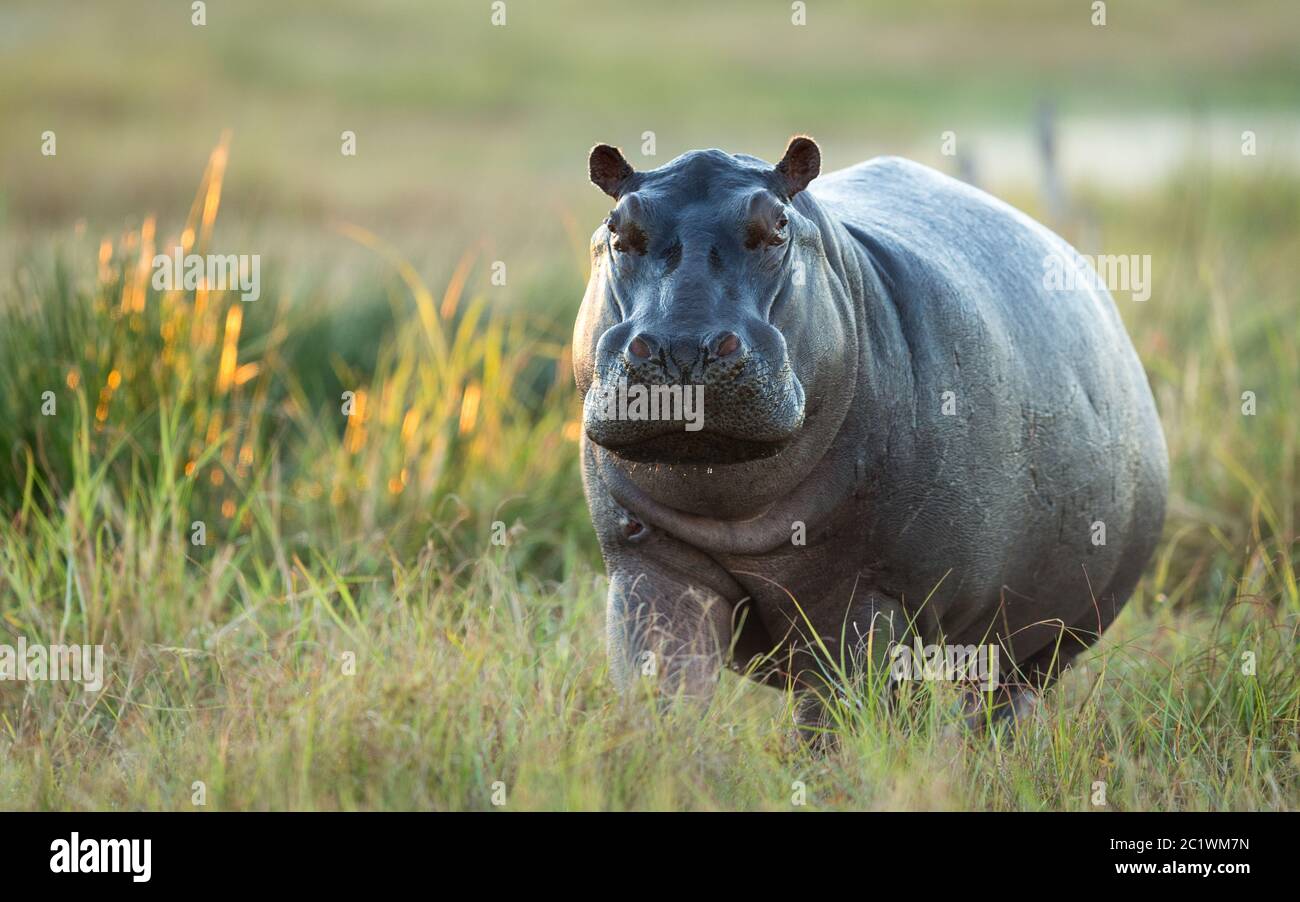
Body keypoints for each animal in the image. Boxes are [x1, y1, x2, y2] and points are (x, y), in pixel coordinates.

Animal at [574, 135, 1164, 733]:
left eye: (778, 225)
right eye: (617, 227)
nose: (684, 347)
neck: (733, 513)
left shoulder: (873, 595)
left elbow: (841, 713)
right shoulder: (649, 564)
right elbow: (663, 686)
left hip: (1047, 639)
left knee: (1003, 700)